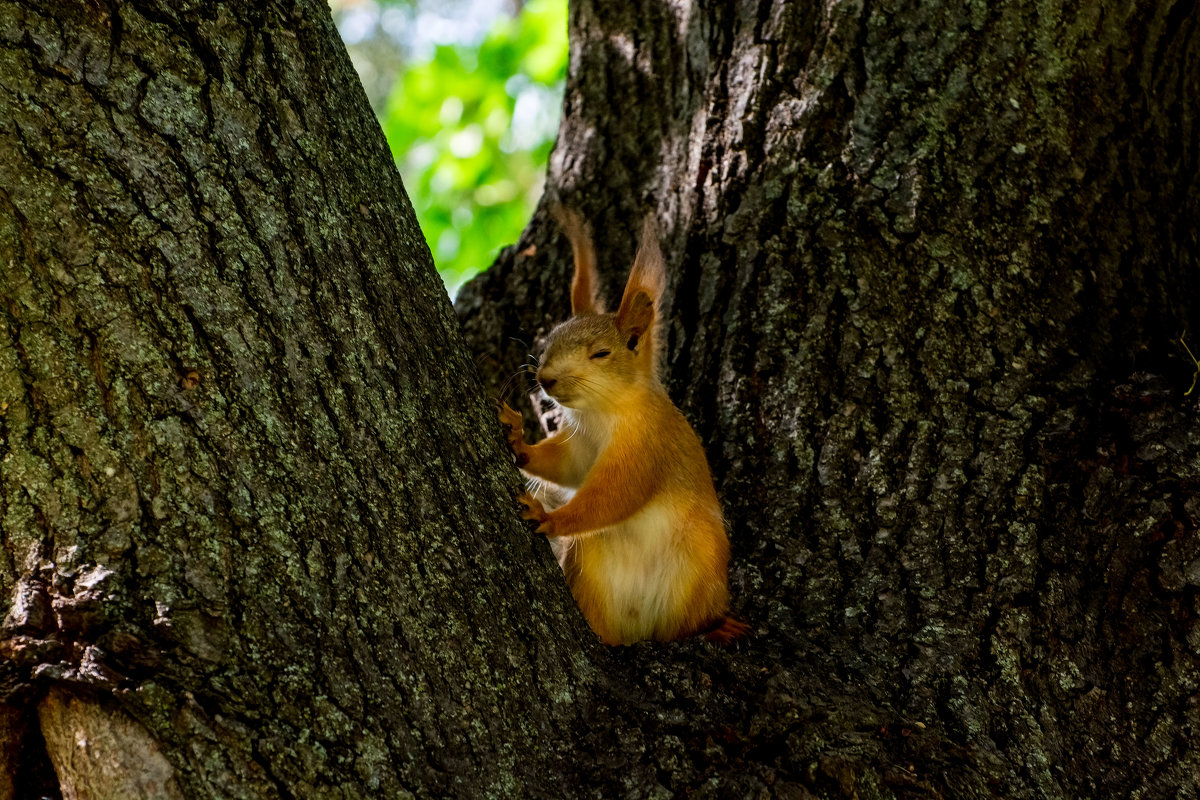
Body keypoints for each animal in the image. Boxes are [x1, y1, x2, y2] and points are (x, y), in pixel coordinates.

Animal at [494, 209, 739, 647]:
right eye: (549, 340)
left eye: (601, 353)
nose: (545, 377)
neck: (600, 413)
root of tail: (641, 628)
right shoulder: (579, 446)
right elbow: (567, 468)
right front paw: (517, 440)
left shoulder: (647, 445)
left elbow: (615, 494)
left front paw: (548, 517)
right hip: (589, 567)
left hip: (703, 559)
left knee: (690, 621)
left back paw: (715, 625)